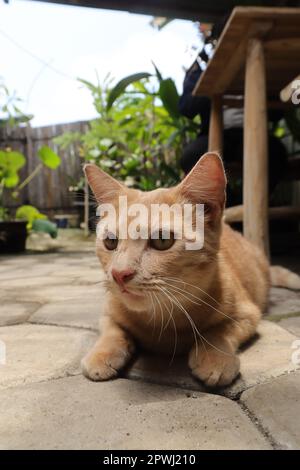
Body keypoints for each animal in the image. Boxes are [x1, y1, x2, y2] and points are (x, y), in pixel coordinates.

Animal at [81, 152, 300, 388]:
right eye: (110, 242)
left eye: (162, 240)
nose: (119, 274)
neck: (163, 322)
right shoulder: (108, 310)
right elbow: (112, 329)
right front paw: (101, 354)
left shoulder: (248, 313)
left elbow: (219, 331)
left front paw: (215, 356)